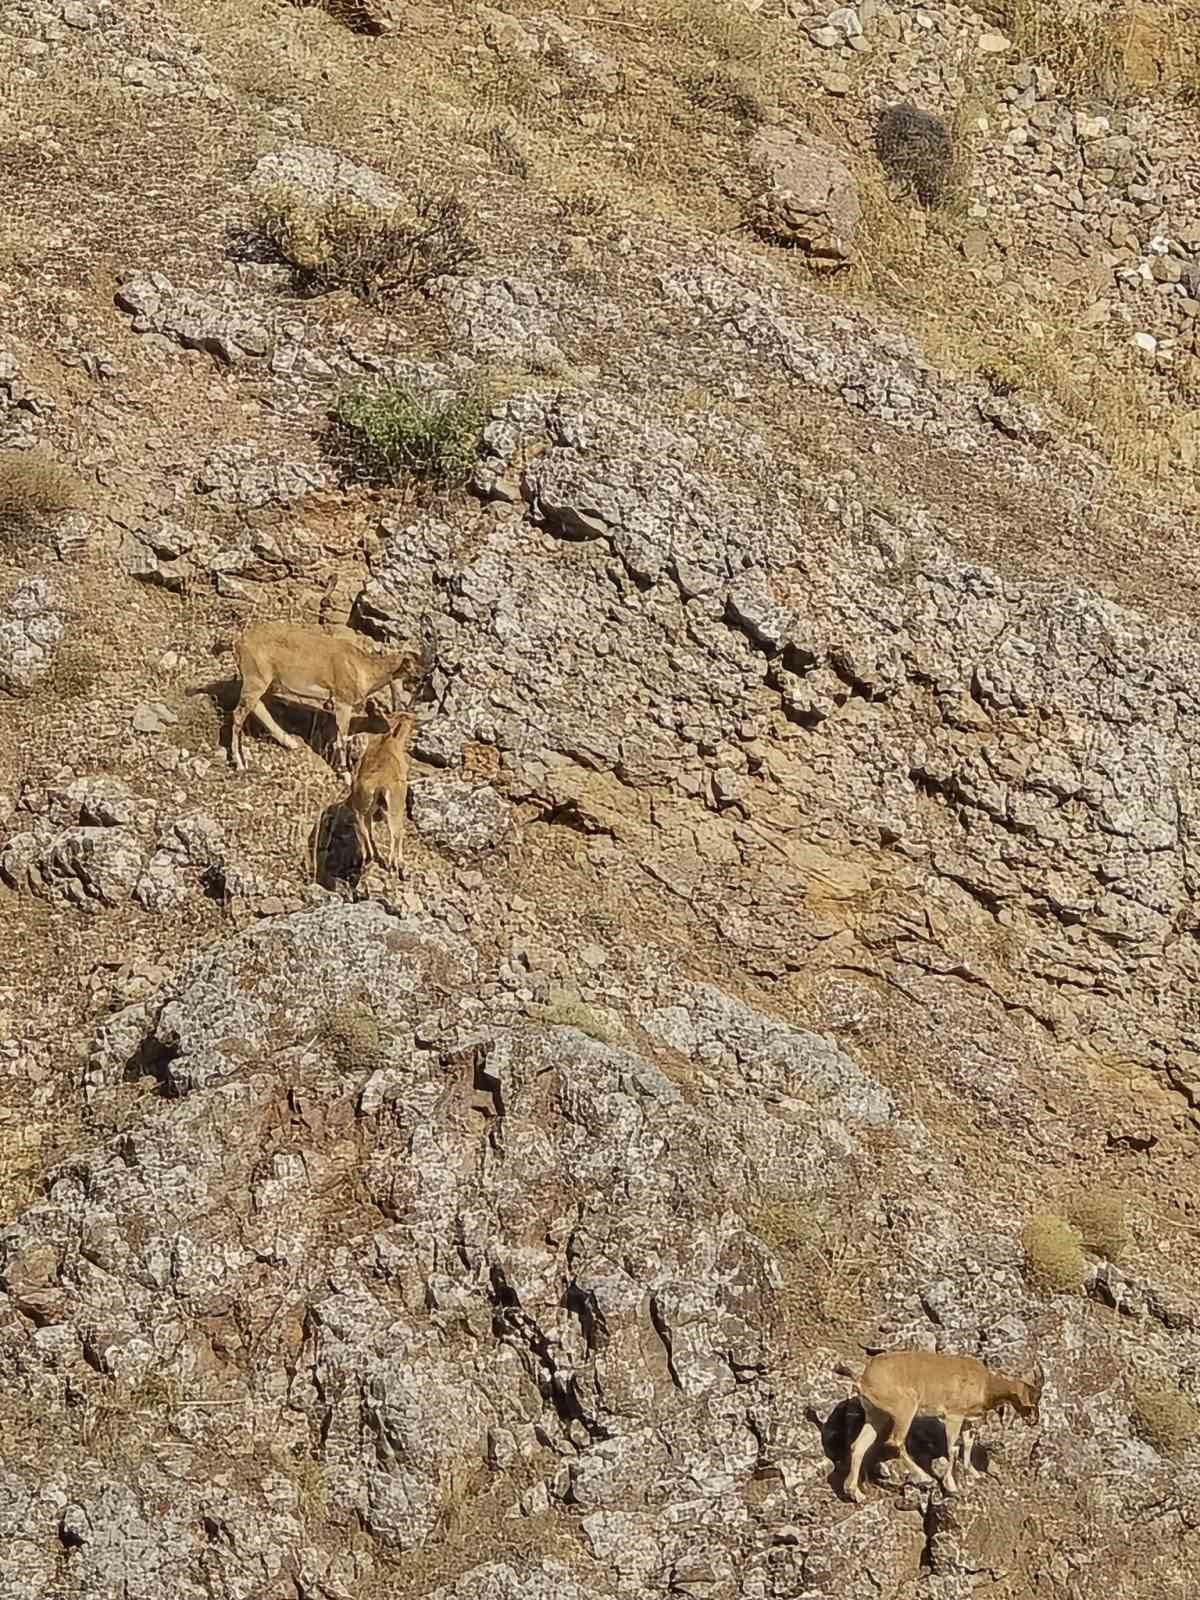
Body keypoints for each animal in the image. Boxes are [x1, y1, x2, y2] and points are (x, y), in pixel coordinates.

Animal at [844, 1350, 1043, 1497]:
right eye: (1033, 1400)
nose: (1034, 1421)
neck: (985, 1386)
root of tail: (863, 1380)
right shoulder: (954, 1416)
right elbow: (952, 1449)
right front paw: (952, 1486)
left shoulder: (967, 1421)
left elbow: (967, 1444)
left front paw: (974, 1473)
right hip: (905, 1408)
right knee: (895, 1441)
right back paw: (925, 1478)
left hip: (876, 1416)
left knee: (858, 1446)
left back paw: (856, 1493)